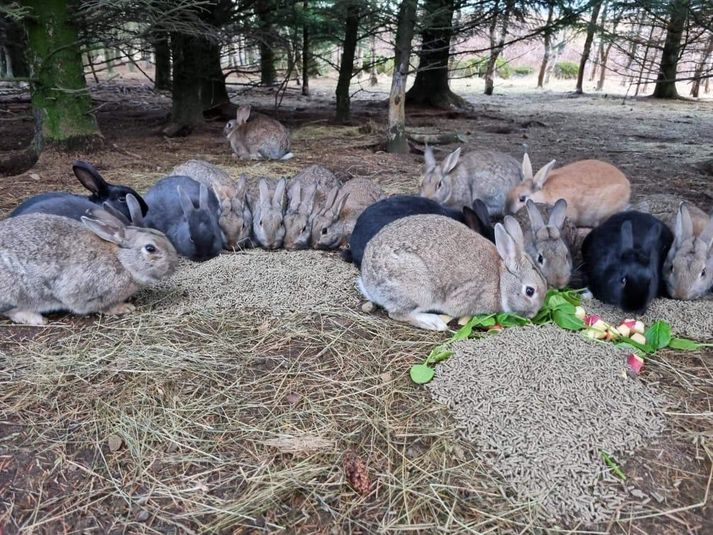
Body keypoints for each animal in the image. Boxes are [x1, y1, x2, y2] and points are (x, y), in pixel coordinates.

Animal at [0, 211, 177, 324]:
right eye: (150, 248)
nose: (173, 267)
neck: (121, 260)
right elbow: (100, 307)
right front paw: (124, 308)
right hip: (19, 292)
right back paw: (37, 319)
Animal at [358, 214, 548, 330]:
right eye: (529, 291)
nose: (533, 314)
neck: (501, 281)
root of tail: (368, 283)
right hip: (418, 290)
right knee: (397, 313)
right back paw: (433, 322)